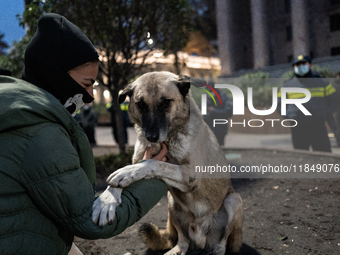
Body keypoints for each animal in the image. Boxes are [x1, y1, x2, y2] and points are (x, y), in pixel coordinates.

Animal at [106, 71, 242, 255]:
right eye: (140, 104)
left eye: (165, 103)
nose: (151, 137)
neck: (168, 139)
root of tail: (201, 237)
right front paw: (106, 200)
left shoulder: (189, 175)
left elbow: (152, 163)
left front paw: (124, 174)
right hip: (173, 205)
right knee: (183, 241)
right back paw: (175, 251)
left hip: (234, 200)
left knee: (223, 241)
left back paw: (217, 250)